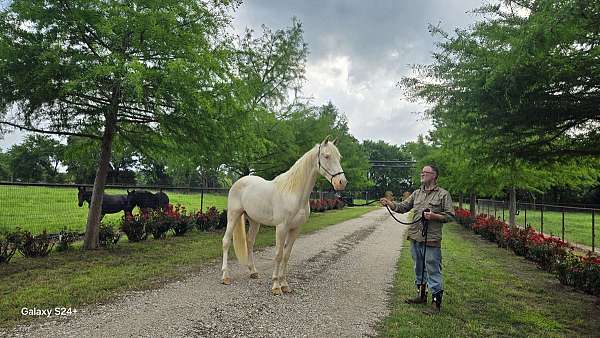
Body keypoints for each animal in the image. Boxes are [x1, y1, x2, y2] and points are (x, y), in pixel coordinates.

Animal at [221, 136, 346, 294]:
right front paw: (276, 285)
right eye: (327, 156)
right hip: (233, 215)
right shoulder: (281, 228)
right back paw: (225, 276)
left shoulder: (295, 229)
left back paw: (253, 271)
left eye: (339, 157)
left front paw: (284, 284)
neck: (293, 193)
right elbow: (278, 254)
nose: (341, 182)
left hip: (255, 221)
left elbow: (286, 255)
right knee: (226, 241)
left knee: (249, 242)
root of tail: (238, 182)